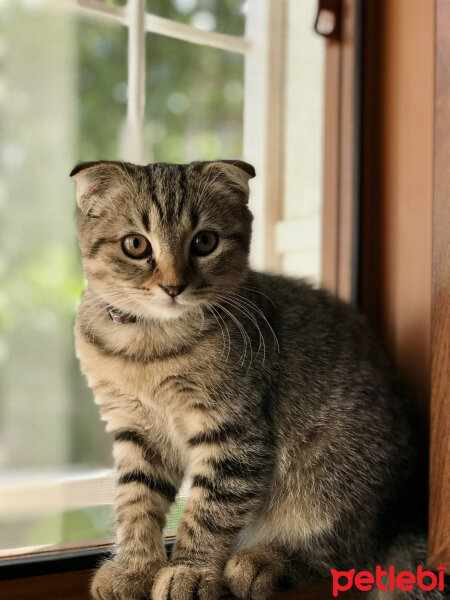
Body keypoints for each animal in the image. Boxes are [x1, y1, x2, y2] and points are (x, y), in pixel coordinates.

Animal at [71, 159, 442, 600]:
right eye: (135, 245)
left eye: (204, 242)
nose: (174, 286)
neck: (149, 344)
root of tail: (400, 518)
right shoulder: (134, 429)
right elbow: (136, 501)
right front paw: (134, 569)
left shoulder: (236, 432)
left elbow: (208, 510)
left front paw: (190, 572)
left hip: (334, 471)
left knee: (342, 555)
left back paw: (266, 561)